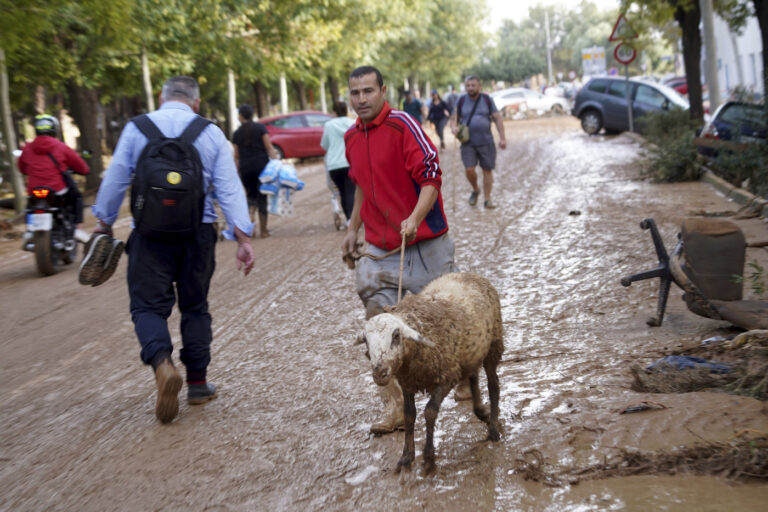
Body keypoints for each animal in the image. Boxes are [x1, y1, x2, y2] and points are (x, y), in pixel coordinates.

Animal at [356, 272, 508, 476]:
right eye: (366, 340)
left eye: (396, 335)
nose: (379, 373)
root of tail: (467, 273)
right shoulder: (407, 382)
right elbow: (409, 415)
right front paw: (406, 457)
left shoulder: (446, 376)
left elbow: (429, 412)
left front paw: (428, 458)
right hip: (470, 353)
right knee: (474, 377)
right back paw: (482, 412)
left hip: (494, 343)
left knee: (493, 385)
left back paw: (493, 429)